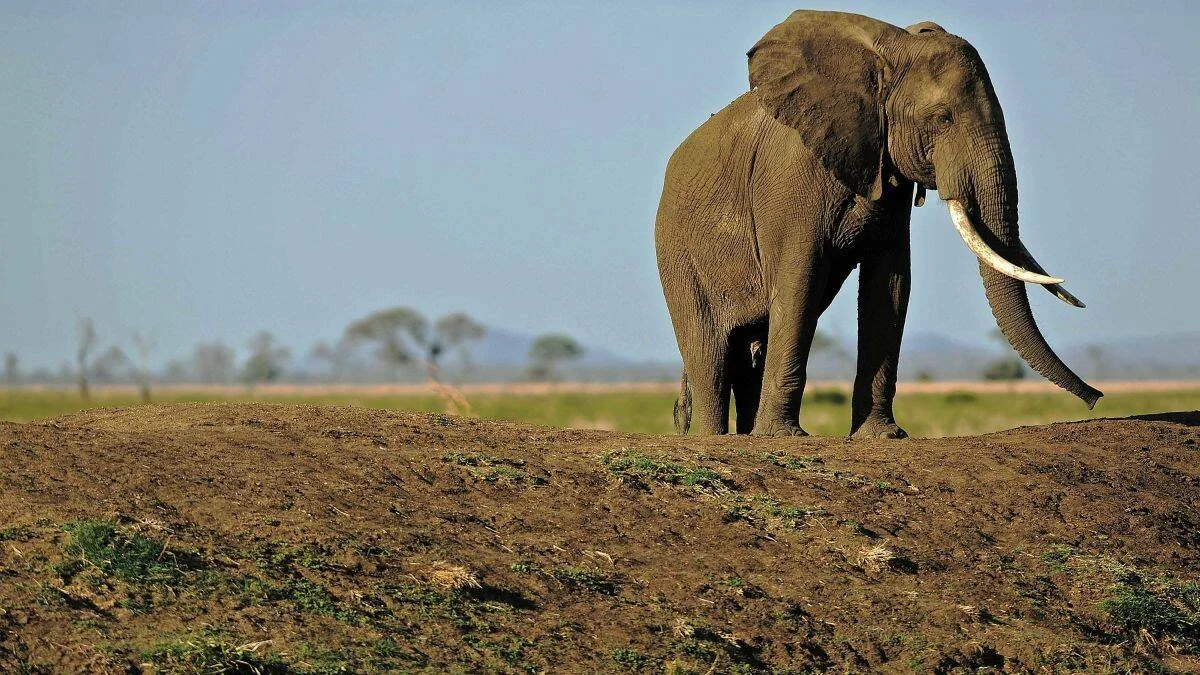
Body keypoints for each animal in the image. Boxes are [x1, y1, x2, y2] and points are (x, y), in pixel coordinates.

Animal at [655, 10, 1102, 438]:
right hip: (677, 253)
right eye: (943, 119)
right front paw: (783, 437)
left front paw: (883, 436)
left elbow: (890, 283)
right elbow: (800, 281)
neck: (888, 53)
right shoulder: (791, 177)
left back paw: (745, 435)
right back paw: (717, 437)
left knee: (750, 348)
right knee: (710, 351)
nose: (1095, 398)